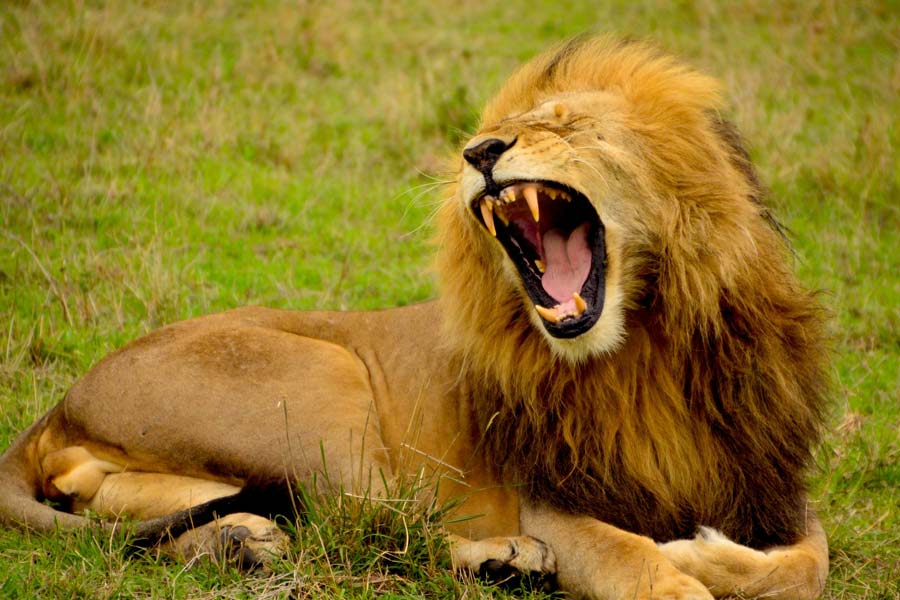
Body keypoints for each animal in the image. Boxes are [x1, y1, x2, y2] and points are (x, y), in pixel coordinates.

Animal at [0, 36, 829, 599]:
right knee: (369, 529)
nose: (480, 150)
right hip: (326, 382)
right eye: (503, 126)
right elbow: (633, 557)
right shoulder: (551, 501)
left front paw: (704, 552)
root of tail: (62, 400)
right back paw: (499, 559)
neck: (645, 349)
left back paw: (240, 541)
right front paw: (678, 565)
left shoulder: (769, 482)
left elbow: (807, 563)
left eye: (567, 125)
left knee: (118, 507)